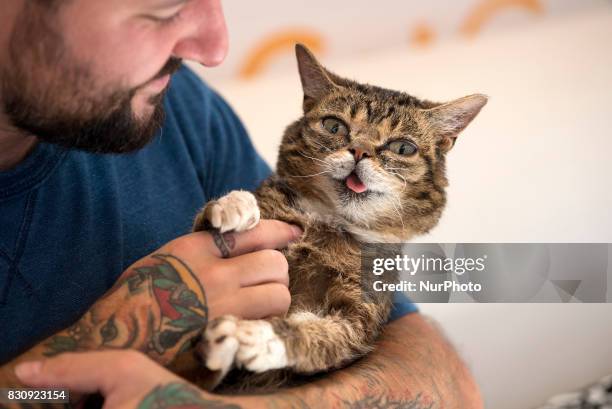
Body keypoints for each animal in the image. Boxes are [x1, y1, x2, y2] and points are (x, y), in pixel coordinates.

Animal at [189, 43, 486, 388]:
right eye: (334, 126)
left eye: (402, 148)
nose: (360, 151)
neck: (331, 226)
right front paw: (235, 204)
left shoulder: (359, 316)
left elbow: (319, 335)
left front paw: (258, 337)